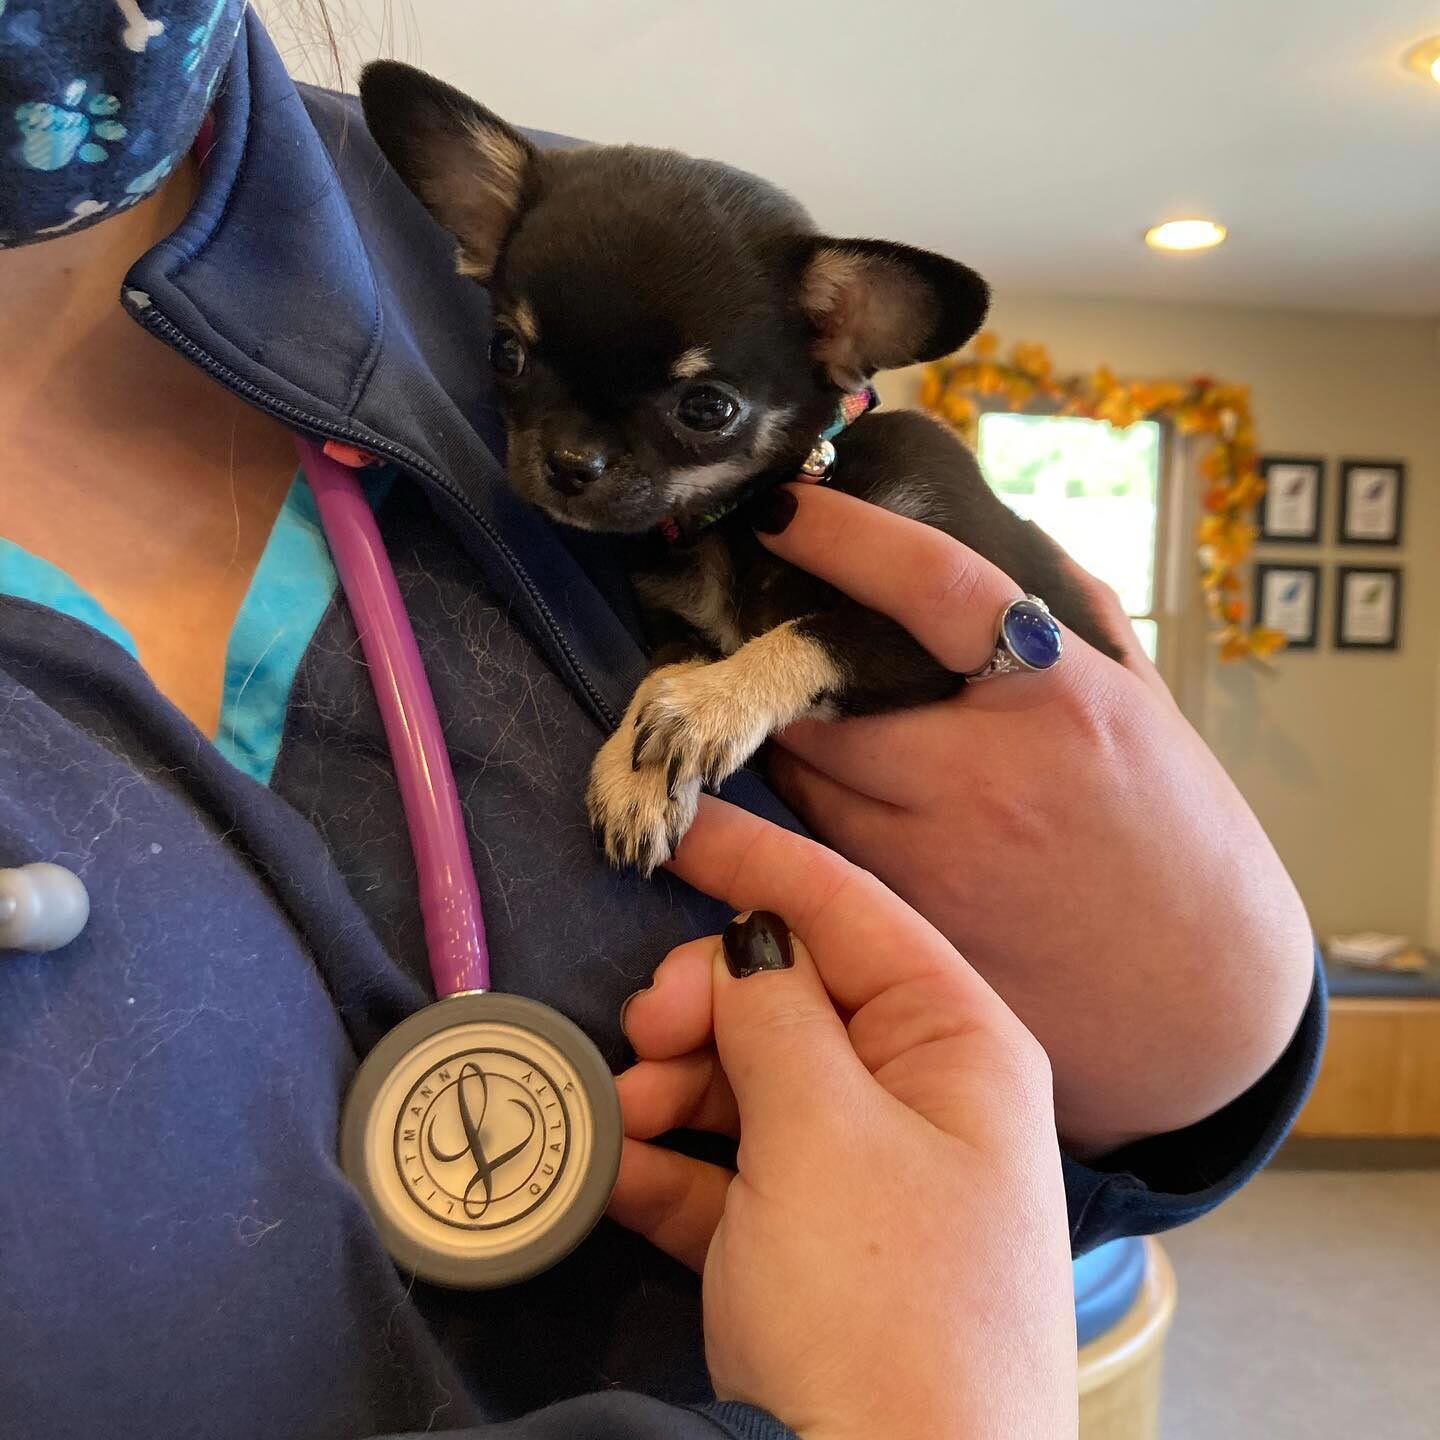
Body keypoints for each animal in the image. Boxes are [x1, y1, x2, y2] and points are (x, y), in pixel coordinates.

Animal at [357, 64, 1111, 875]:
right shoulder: (678, 621)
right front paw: (637, 769)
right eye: (506, 354)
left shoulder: (937, 636)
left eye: (708, 408)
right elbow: (664, 665)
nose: (568, 463)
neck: (743, 513)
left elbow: (808, 632)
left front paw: (708, 707)